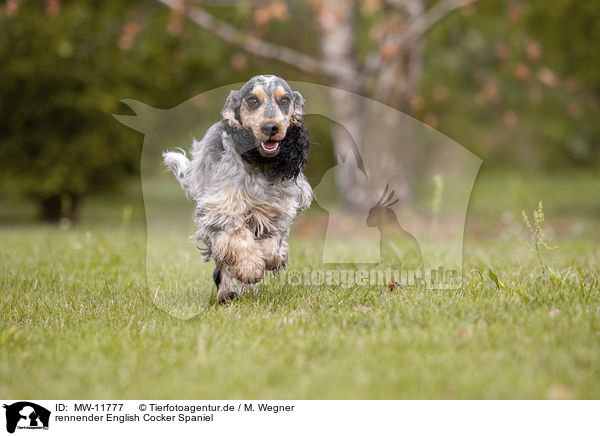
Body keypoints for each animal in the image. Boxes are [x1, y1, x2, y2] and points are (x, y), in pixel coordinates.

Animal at [164, 75, 314, 302]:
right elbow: (238, 238)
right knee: (222, 263)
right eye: (252, 101)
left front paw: (274, 258)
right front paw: (249, 268)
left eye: (284, 100)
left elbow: (273, 245)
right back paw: (226, 293)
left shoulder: (279, 211)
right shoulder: (221, 208)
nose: (271, 127)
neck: (261, 163)